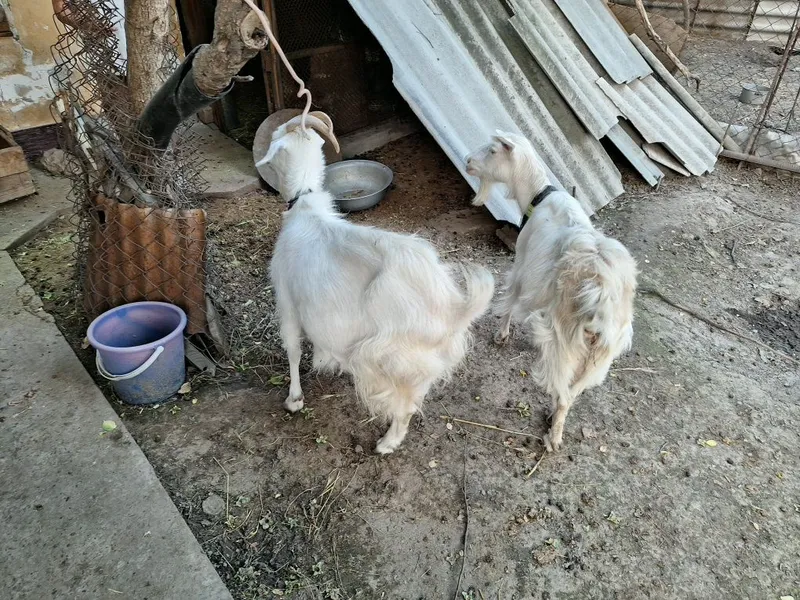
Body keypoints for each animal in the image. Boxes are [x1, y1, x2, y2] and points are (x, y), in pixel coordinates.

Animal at [257, 113, 495, 454]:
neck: (305, 207)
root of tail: (455, 309)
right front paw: (325, 361)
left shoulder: (287, 298)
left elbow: (292, 349)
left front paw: (294, 399)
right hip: (423, 360)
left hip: (389, 355)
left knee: (405, 402)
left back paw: (388, 442)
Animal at [465, 131, 637, 451]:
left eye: (493, 150)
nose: (468, 161)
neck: (539, 196)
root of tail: (601, 299)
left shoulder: (522, 264)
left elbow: (510, 299)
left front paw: (501, 335)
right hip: (602, 354)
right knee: (573, 392)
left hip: (567, 342)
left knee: (564, 391)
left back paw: (552, 438)